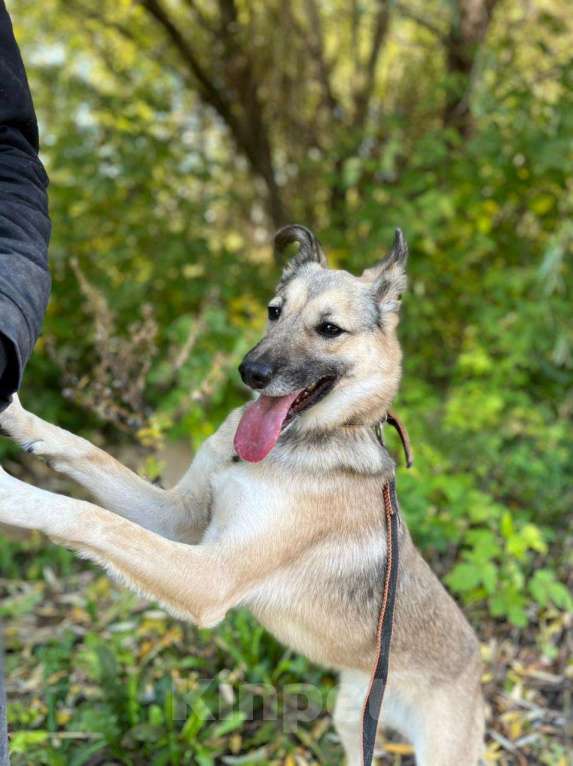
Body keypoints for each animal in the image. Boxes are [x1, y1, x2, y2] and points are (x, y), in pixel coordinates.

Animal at [0, 225, 482, 764]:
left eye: (329, 329)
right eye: (274, 311)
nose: (250, 372)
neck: (289, 446)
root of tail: (477, 663)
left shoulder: (213, 577)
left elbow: (89, 516)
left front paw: (11, 493)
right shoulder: (178, 516)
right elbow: (87, 454)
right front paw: (16, 417)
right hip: (353, 720)